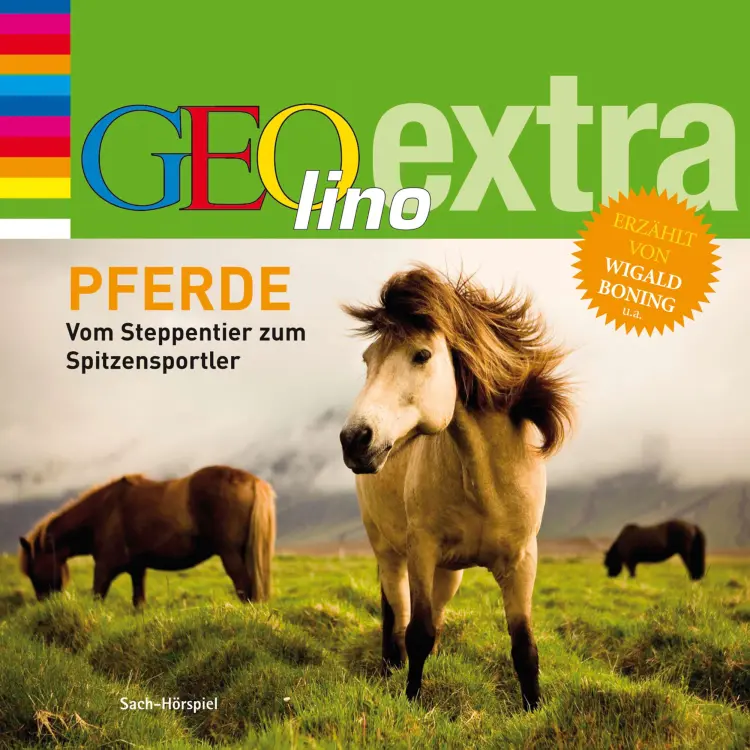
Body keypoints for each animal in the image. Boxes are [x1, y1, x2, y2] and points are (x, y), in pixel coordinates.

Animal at [19, 465, 276, 606]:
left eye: (32, 571)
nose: (46, 606)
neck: (103, 512)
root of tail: (252, 481)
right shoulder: (137, 569)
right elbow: (138, 603)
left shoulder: (103, 567)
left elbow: (97, 598)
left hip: (230, 553)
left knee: (244, 587)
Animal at [339, 265, 573, 711]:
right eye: (367, 359)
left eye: (422, 355)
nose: (355, 439)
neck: (485, 484)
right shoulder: (421, 551)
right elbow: (417, 633)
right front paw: (412, 701)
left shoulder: (522, 561)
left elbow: (524, 646)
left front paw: (533, 709)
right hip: (390, 552)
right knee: (397, 613)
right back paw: (389, 666)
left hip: (450, 573)